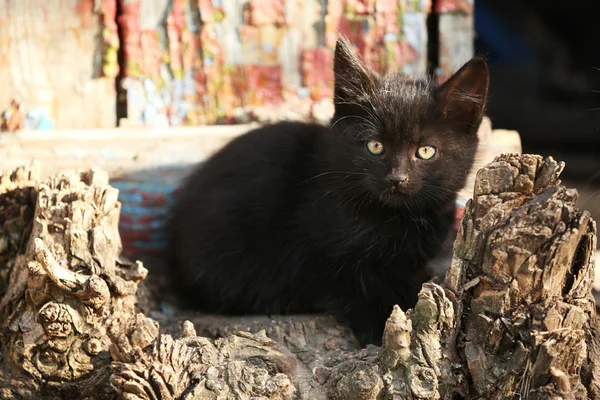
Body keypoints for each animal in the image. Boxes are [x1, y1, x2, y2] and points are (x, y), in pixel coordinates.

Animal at [165, 36, 488, 346]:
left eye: (425, 151)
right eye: (375, 146)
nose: (397, 178)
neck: (393, 219)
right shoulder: (311, 257)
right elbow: (351, 290)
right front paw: (380, 327)